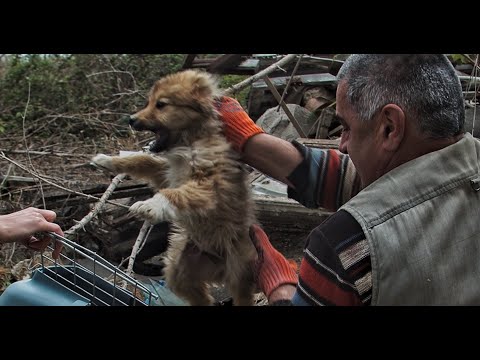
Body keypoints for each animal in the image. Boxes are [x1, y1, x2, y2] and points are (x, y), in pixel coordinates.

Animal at [94, 70, 258, 306]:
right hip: (179, 269)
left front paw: (150, 205)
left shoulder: (210, 185)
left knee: (240, 295)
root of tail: (217, 267)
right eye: (149, 102)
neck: (189, 141)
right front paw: (108, 160)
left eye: (161, 104)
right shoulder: (166, 172)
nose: (131, 120)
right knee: (202, 299)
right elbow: (143, 160)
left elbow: (177, 193)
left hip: (239, 271)